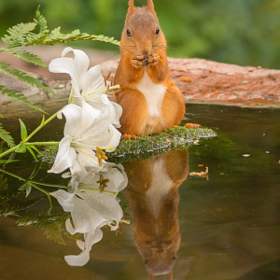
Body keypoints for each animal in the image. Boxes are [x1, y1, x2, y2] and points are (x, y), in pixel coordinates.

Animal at [115, 0, 185, 136]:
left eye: (157, 30)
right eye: (128, 32)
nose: (145, 50)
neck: (145, 64)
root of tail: (152, 123)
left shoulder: (164, 57)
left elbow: (161, 74)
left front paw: (155, 59)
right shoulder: (124, 60)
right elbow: (129, 75)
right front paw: (135, 63)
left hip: (176, 97)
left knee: (168, 126)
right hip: (132, 100)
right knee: (128, 129)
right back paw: (129, 136)